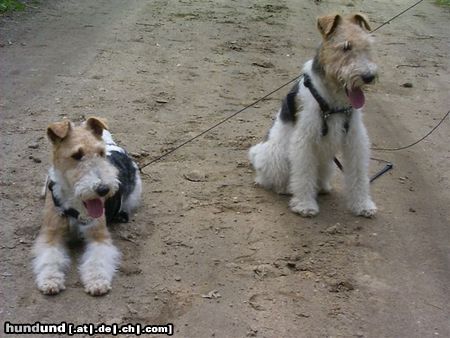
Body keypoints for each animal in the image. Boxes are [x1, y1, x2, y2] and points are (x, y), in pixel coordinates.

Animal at [32, 117, 142, 296]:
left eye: (101, 153)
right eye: (77, 155)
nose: (103, 189)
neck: (74, 205)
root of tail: (113, 146)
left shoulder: (98, 235)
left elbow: (97, 260)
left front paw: (97, 282)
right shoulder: (51, 235)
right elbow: (50, 258)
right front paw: (50, 280)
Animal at [248, 12, 378, 217]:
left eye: (367, 45)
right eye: (345, 47)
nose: (368, 77)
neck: (333, 100)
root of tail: (258, 153)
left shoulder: (355, 139)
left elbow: (358, 174)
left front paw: (363, 205)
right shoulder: (305, 139)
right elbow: (303, 174)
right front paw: (305, 205)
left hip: (326, 162)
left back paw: (323, 187)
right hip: (276, 156)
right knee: (270, 180)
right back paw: (285, 188)